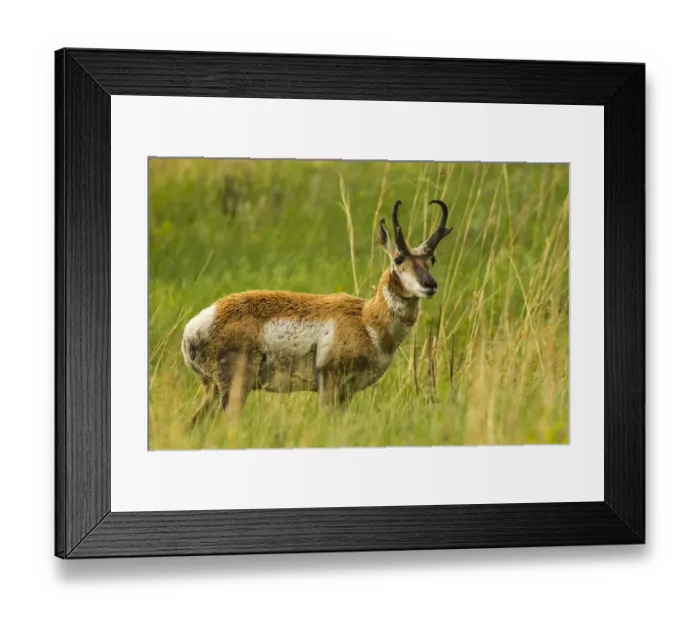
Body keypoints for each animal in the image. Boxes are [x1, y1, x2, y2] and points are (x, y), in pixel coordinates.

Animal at [182, 199, 453, 426]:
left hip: (214, 390)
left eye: (432, 259)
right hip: (235, 388)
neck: (367, 320)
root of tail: (194, 327)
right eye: (398, 259)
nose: (430, 284)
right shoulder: (329, 383)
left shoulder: (346, 393)